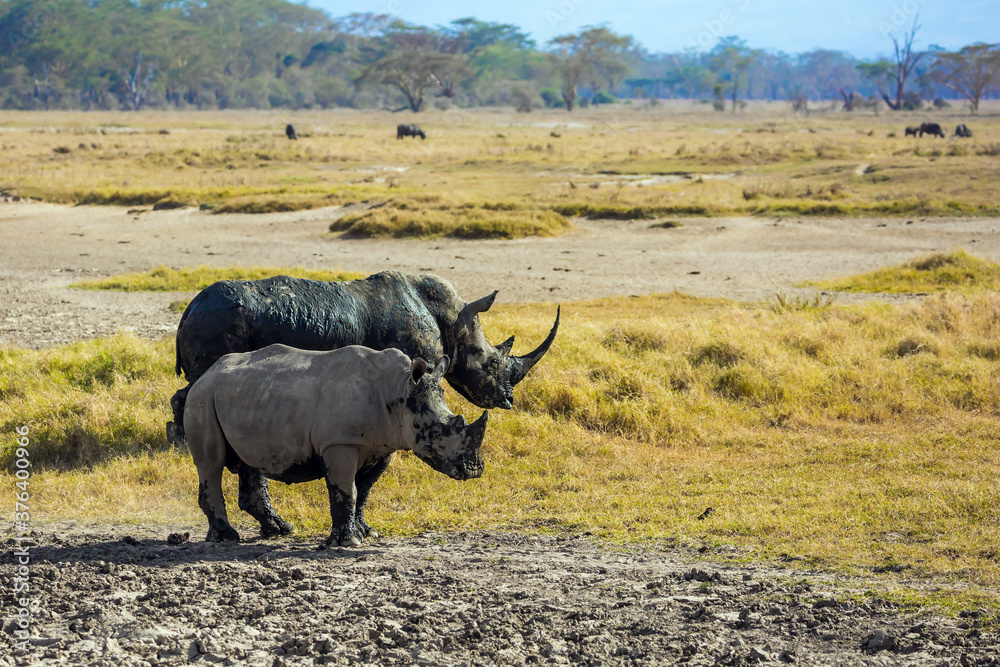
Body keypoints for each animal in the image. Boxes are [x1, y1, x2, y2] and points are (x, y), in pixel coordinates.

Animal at [185, 344, 487, 545]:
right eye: (436, 432)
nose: (474, 470)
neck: (399, 389)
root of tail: (206, 373)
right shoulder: (340, 442)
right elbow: (346, 489)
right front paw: (348, 541)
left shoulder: (383, 446)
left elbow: (364, 491)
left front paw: (366, 532)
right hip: (202, 397)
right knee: (211, 464)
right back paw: (226, 537)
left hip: (246, 398)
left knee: (251, 461)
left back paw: (281, 530)